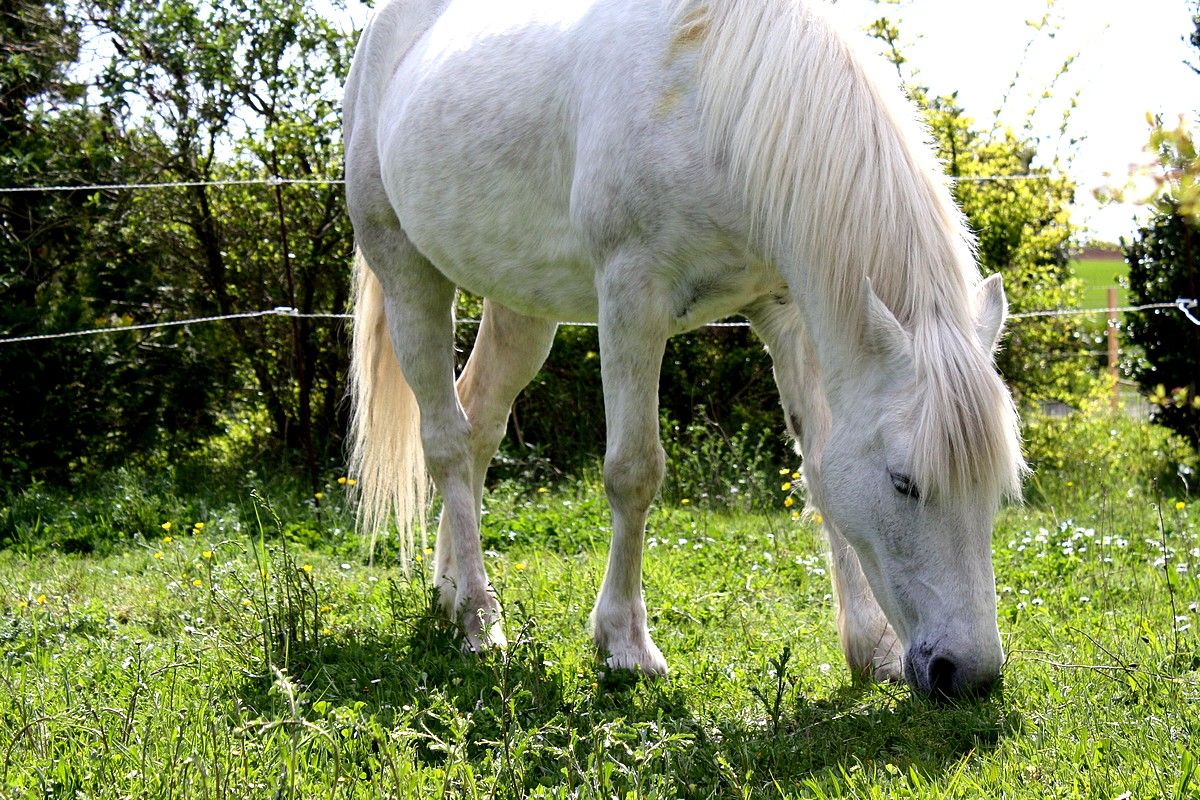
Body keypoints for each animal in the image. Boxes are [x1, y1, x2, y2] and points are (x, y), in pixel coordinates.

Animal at [342, 0, 1024, 699]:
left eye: (1000, 488)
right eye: (904, 483)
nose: (968, 675)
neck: (710, 94)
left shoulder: (788, 311)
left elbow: (820, 466)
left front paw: (871, 647)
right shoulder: (631, 299)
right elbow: (633, 472)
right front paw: (625, 645)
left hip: (522, 305)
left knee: (479, 424)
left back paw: (452, 592)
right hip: (408, 273)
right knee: (447, 441)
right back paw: (480, 623)